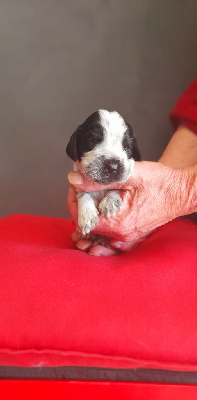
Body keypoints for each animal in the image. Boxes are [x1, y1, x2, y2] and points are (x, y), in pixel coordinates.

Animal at [66, 108, 140, 242]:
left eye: (127, 147)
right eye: (93, 140)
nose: (113, 166)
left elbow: (117, 187)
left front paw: (109, 202)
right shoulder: (80, 185)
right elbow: (83, 194)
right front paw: (86, 216)